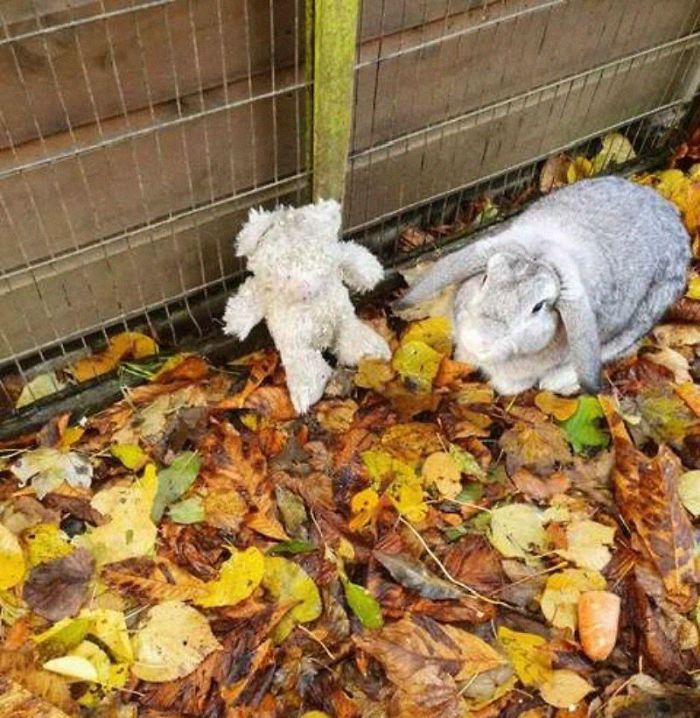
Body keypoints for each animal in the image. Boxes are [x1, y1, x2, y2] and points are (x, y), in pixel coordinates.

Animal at [396, 177, 692, 396]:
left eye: (538, 307)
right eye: (485, 277)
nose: (481, 339)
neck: (544, 251)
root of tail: (672, 215)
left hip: (644, 314)